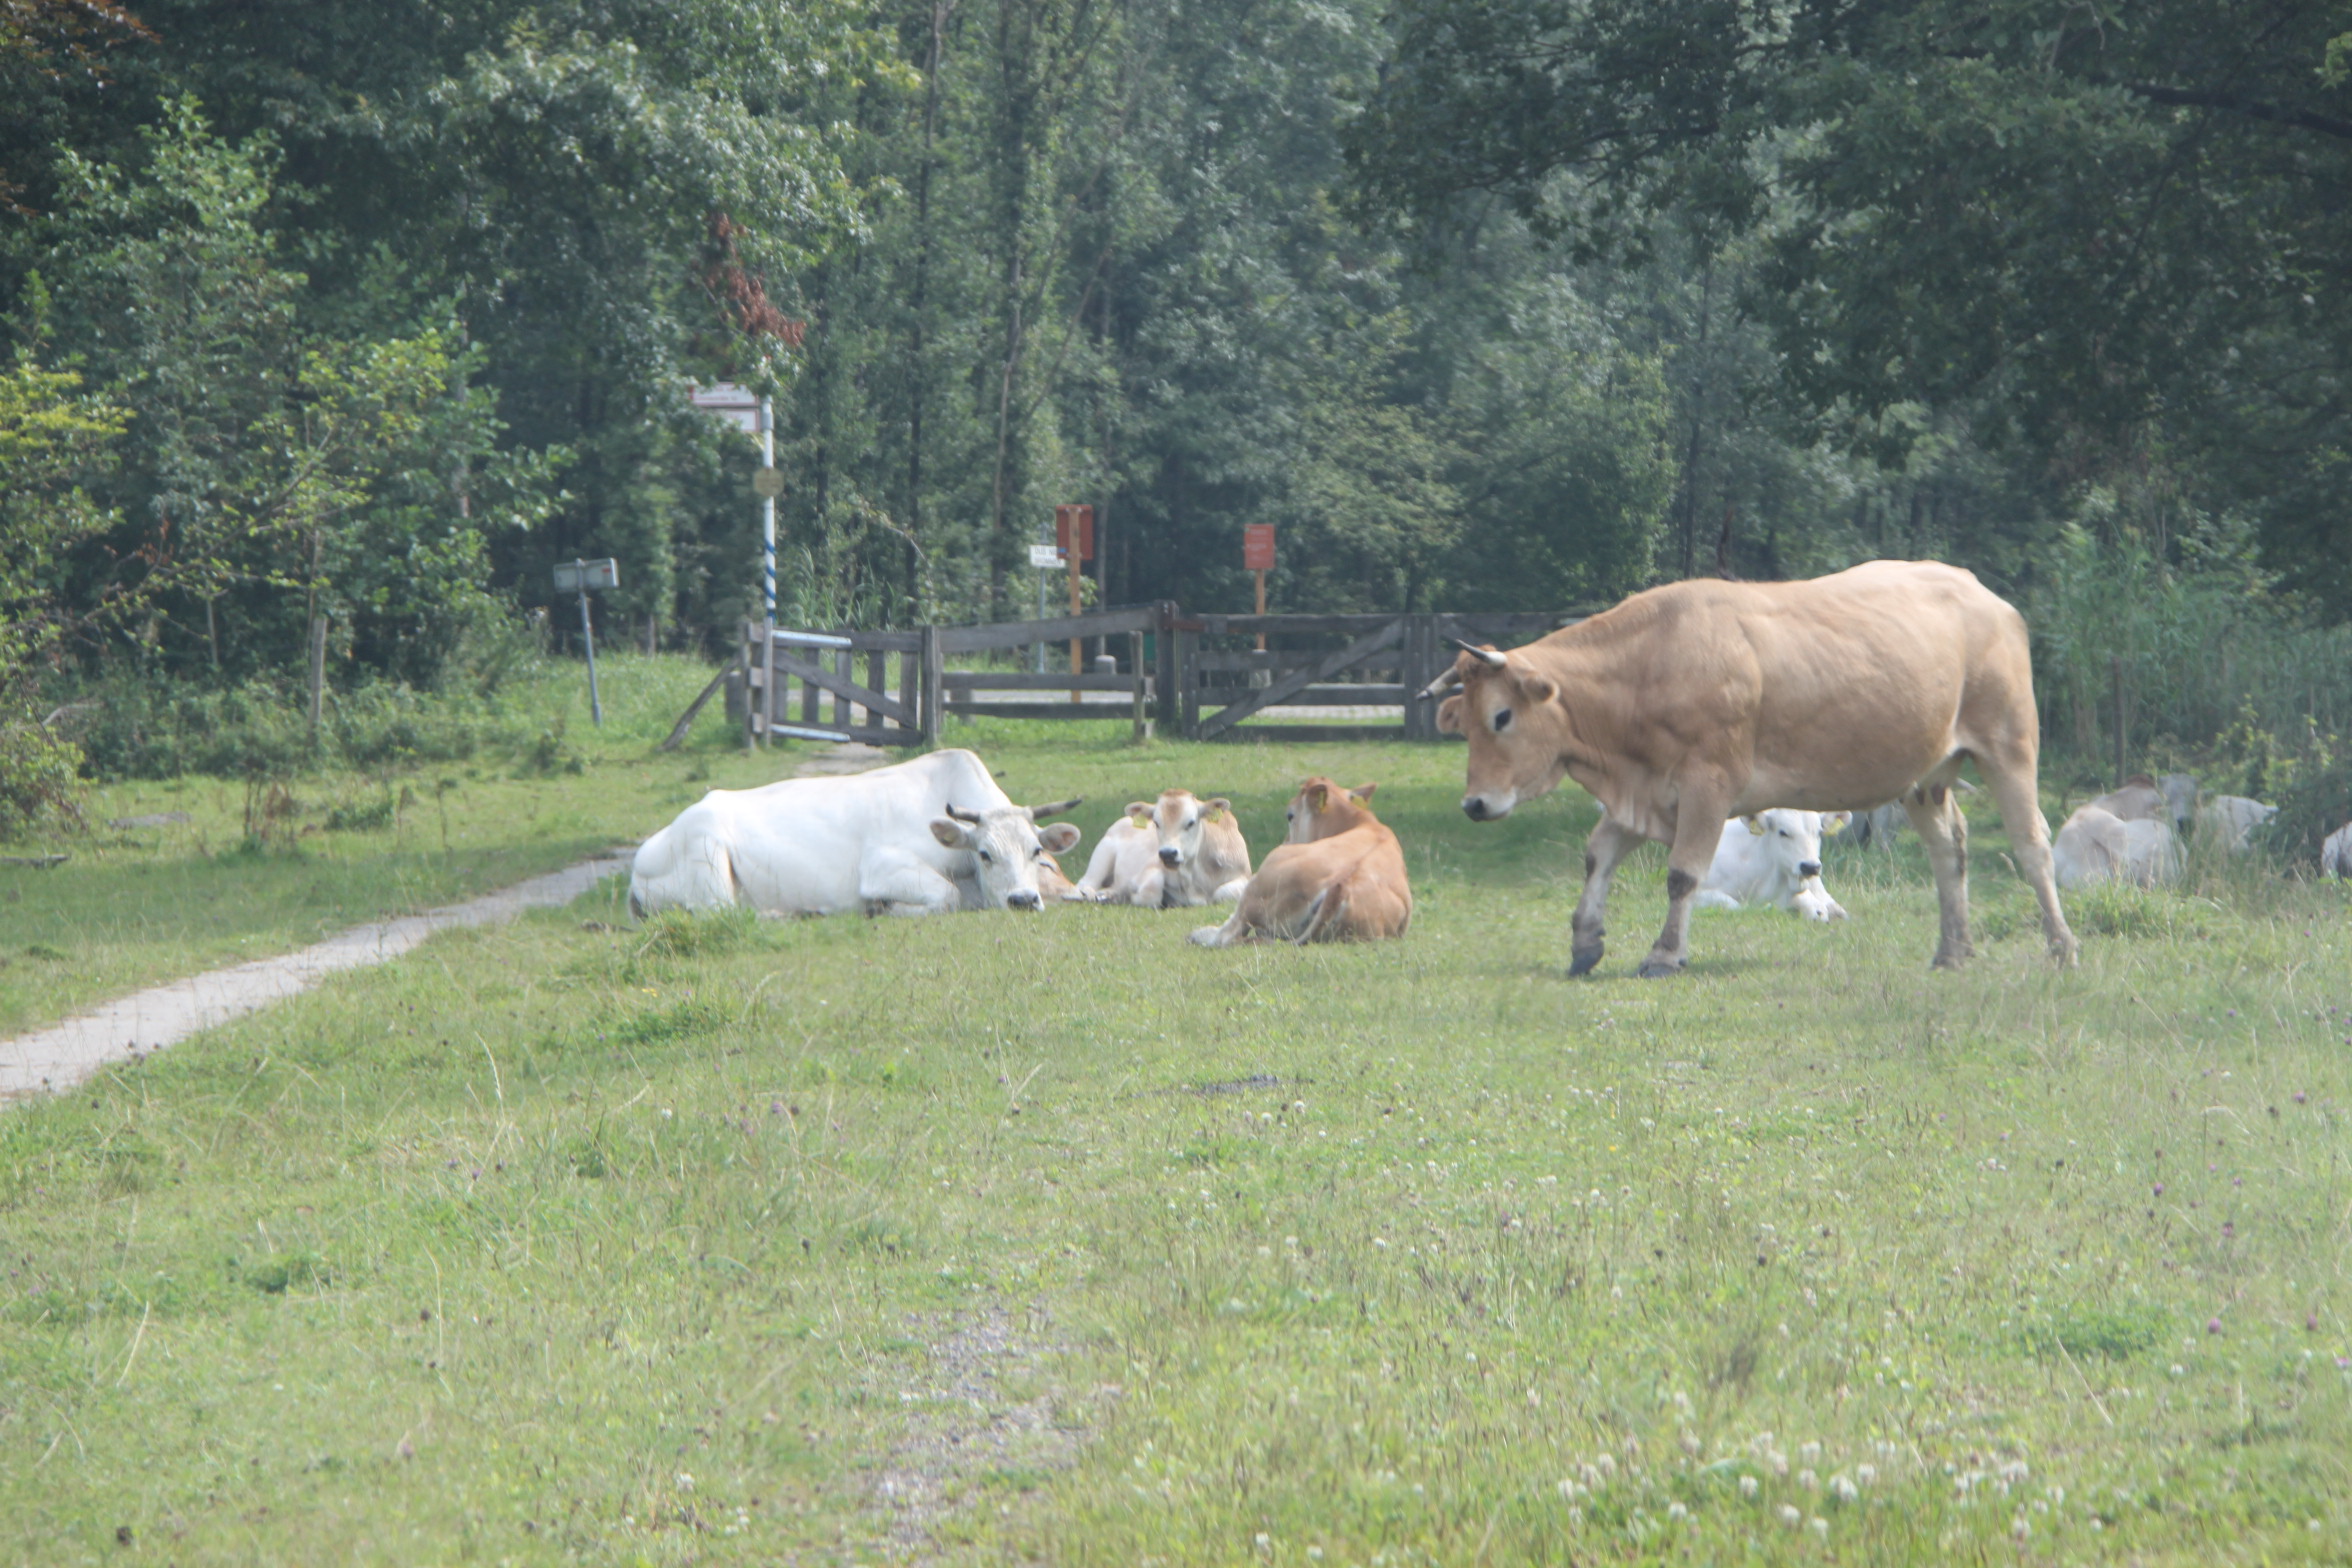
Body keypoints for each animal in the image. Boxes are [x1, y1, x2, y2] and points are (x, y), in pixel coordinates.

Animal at [628, 748, 1082, 917]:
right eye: (985, 854)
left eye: (1037, 851)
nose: (1023, 900)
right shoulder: (885, 867)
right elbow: (945, 896)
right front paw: (883, 907)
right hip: (707, 858)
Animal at [1075, 789, 1252, 907]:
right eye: (1156, 822)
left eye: (1191, 822)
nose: (1168, 853)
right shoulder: (1148, 869)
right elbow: (1151, 891)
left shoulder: (1245, 875)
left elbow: (1222, 893)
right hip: (1103, 853)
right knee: (1086, 883)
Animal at [1190, 778, 1412, 947]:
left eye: (1290, 815)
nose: (1285, 840)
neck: (1362, 822)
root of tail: (1341, 885)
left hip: (1257, 885)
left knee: (1228, 933)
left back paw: (1197, 935)